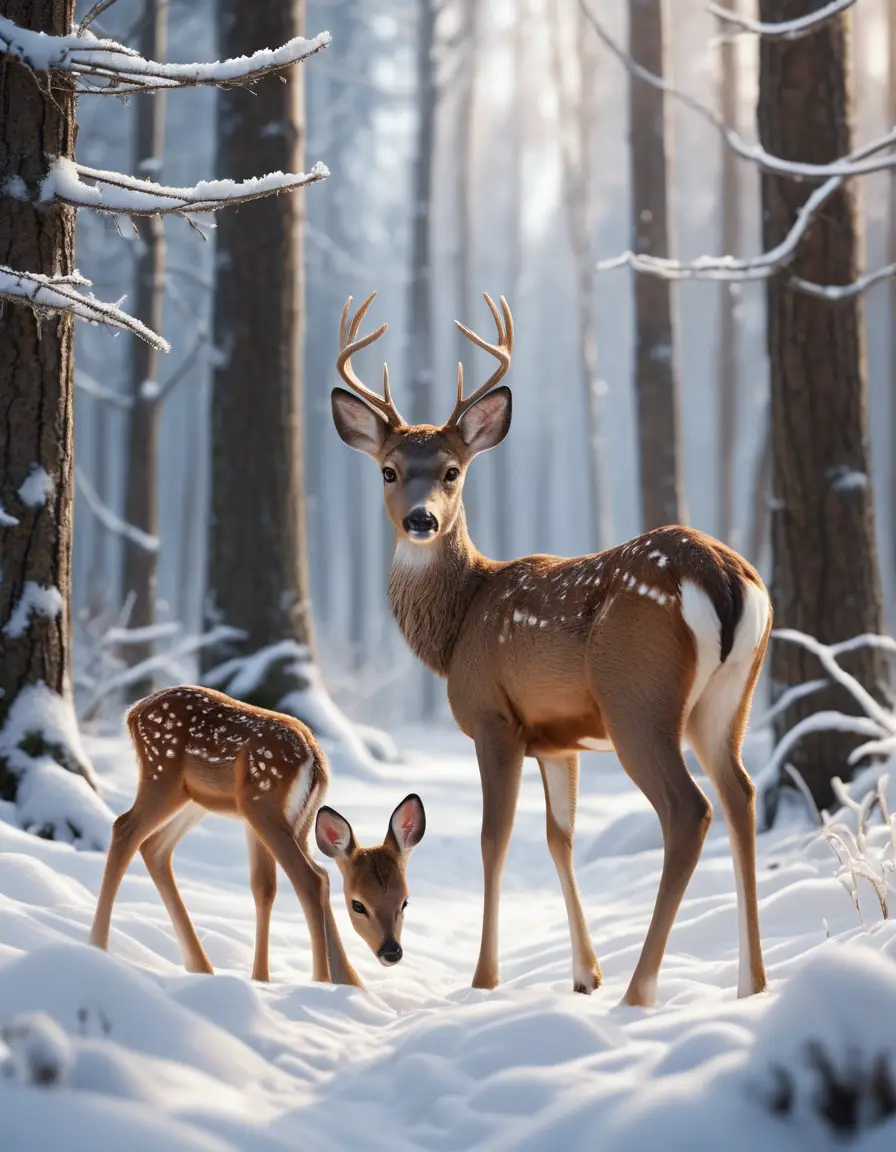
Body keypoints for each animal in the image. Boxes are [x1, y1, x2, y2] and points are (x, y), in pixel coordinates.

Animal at [88, 685, 426, 985]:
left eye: (405, 901)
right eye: (358, 905)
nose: (391, 952)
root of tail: (134, 712)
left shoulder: (283, 822)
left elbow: (267, 887)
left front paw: (343, 985)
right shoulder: (265, 808)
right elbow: (307, 881)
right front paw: (323, 983)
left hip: (203, 800)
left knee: (154, 847)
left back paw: (201, 967)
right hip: (174, 777)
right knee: (125, 828)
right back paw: (96, 947)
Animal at [329, 291, 771, 1007]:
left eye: (452, 472)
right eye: (389, 470)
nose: (421, 519)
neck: (457, 629)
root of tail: (726, 577)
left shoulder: (494, 719)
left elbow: (495, 838)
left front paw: (485, 979)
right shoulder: (560, 741)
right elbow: (558, 837)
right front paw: (584, 974)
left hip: (637, 698)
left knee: (689, 810)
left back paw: (641, 990)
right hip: (728, 700)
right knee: (741, 796)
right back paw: (751, 984)